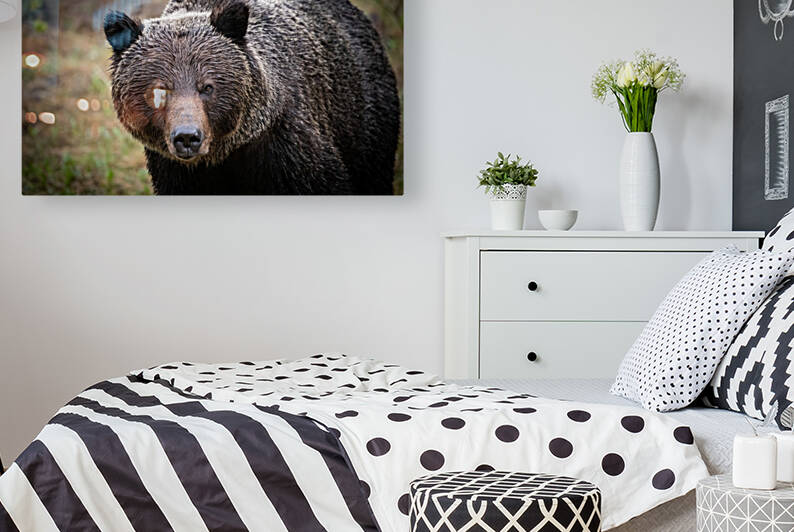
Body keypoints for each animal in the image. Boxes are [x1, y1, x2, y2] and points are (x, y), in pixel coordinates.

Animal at [103, 0, 400, 195]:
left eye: (207, 87)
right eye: (161, 90)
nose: (187, 137)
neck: (223, 155)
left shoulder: (286, 146)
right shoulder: (176, 171)